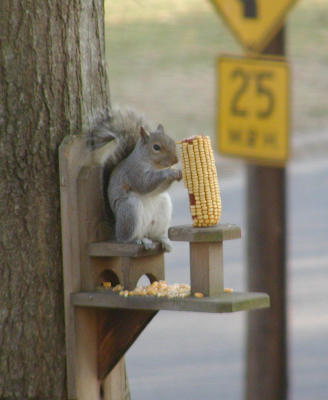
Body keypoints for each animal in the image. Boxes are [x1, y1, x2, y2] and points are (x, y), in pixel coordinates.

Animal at [87, 108, 182, 252]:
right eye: (156, 147)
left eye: (171, 141)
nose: (175, 160)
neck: (153, 164)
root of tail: (116, 226)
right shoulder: (134, 172)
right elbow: (144, 184)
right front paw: (169, 172)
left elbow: (159, 188)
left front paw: (178, 172)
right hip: (130, 209)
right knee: (126, 238)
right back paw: (138, 240)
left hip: (163, 208)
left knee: (155, 235)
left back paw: (164, 240)